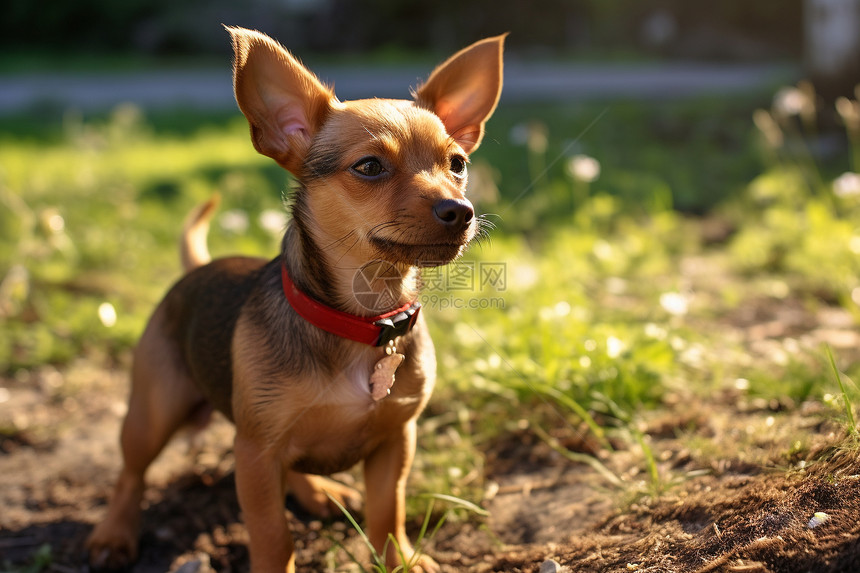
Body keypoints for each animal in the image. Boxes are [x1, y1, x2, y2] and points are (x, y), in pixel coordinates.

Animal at [85, 24, 504, 568]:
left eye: (457, 164)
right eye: (369, 166)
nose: (461, 210)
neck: (364, 318)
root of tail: (201, 268)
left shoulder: (396, 441)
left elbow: (387, 512)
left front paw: (400, 560)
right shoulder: (256, 452)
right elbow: (271, 534)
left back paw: (319, 492)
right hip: (153, 411)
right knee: (130, 474)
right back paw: (114, 534)